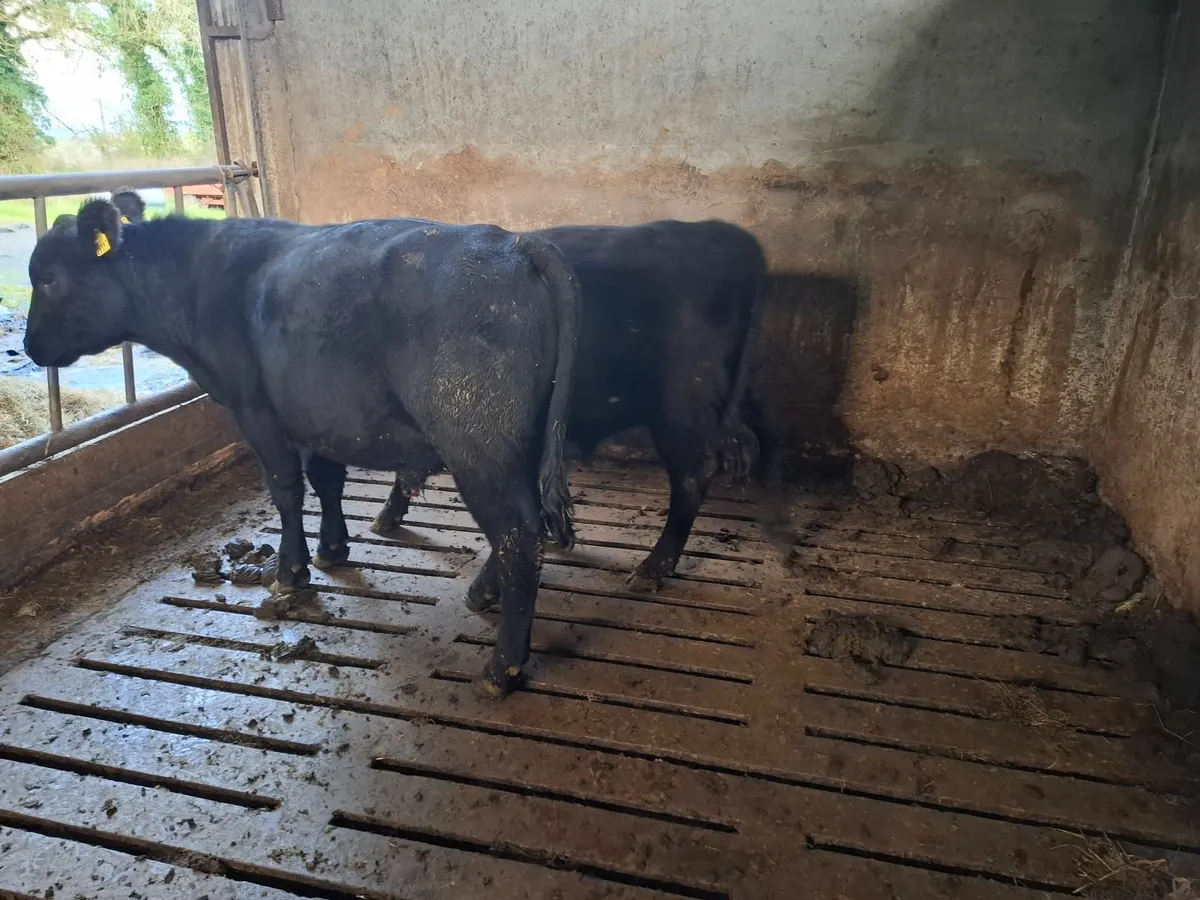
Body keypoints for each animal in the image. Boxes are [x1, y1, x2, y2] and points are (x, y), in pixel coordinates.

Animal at [22, 190, 581, 697]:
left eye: (47, 277)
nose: (30, 347)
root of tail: (514, 244)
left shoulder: (256, 410)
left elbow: (287, 489)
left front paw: (291, 569)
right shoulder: (318, 413)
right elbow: (326, 480)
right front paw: (333, 549)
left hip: (477, 442)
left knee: (518, 535)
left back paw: (501, 668)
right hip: (516, 443)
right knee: (523, 526)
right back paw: (481, 595)